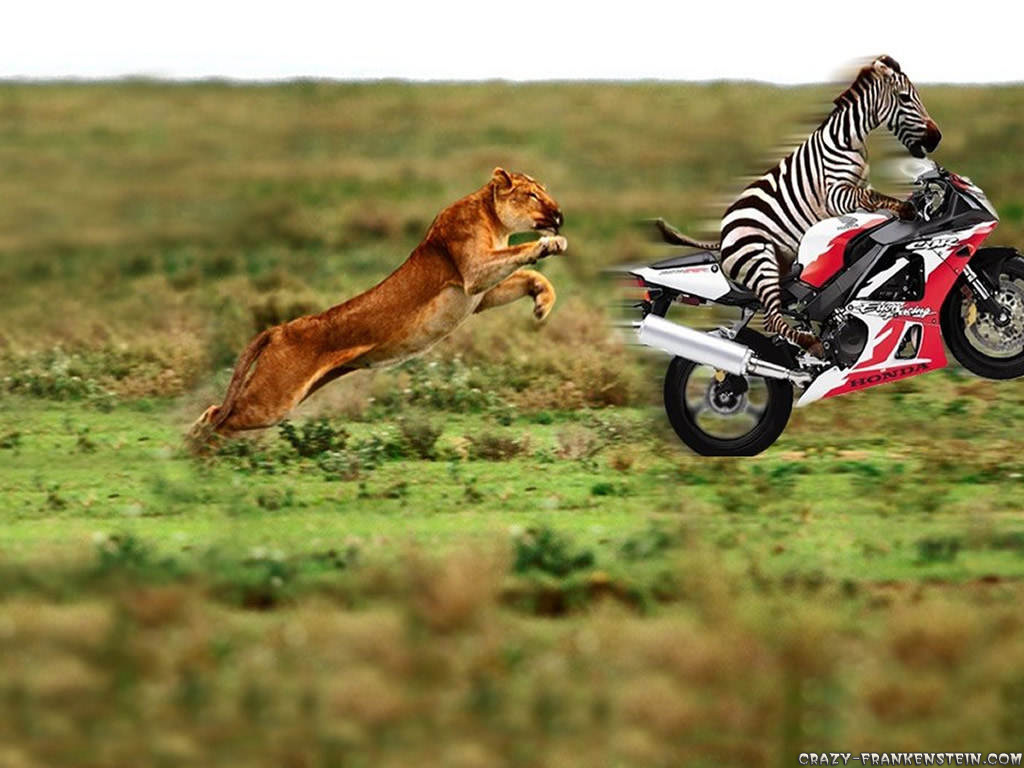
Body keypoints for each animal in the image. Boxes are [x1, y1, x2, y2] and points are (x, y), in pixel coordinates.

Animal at [658, 55, 942, 356]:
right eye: (905, 98)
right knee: (772, 317)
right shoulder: (835, 194)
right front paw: (907, 210)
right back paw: (811, 344)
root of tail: (723, 235)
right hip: (761, 258)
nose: (936, 138)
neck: (848, 140)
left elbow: (869, 204)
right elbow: (872, 197)